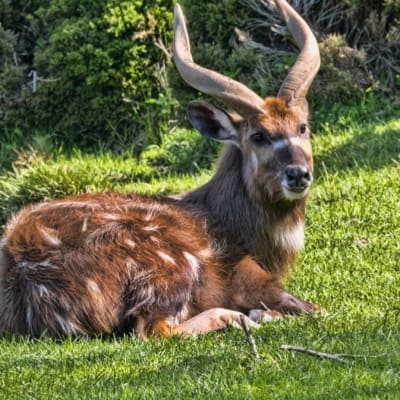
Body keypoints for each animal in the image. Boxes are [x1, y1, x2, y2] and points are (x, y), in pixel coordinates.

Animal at [0, 0, 320, 338]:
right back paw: (242, 317)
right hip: (170, 266)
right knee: (153, 328)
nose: (298, 174)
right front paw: (260, 313)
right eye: (258, 135)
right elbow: (314, 307)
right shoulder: (250, 276)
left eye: (302, 127)